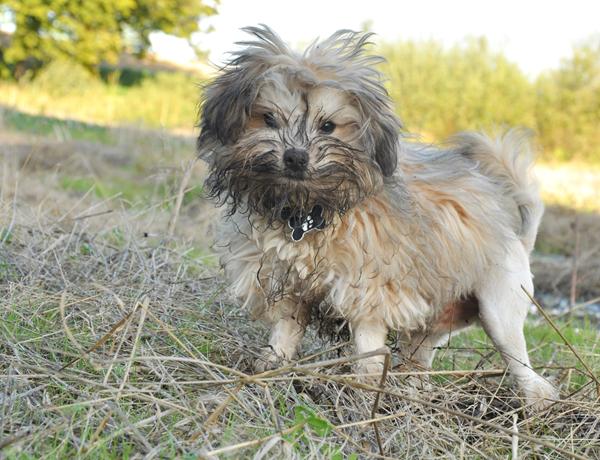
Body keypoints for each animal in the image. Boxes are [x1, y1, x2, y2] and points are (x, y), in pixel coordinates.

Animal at [197, 25, 556, 408]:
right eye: (268, 118)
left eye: (328, 126)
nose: (295, 157)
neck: (311, 210)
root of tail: (518, 239)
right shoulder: (287, 285)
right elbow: (284, 333)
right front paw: (268, 369)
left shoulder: (368, 292)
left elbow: (367, 348)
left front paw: (364, 387)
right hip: (429, 326)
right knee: (420, 362)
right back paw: (412, 390)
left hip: (500, 313)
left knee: (529, 374)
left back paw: (535, 403)